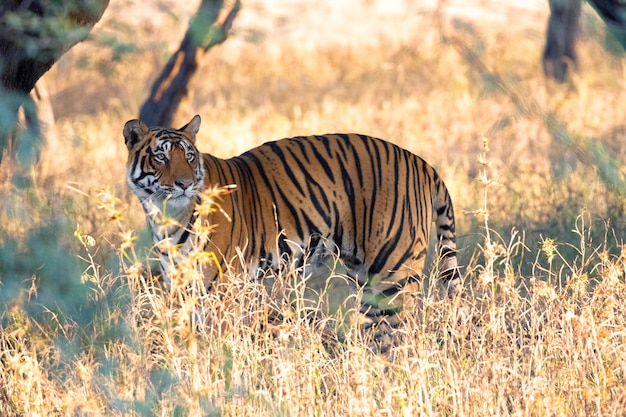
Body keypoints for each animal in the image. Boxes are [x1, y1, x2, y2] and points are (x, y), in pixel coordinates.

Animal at [124, 114, 460, 328]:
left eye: (189, 156)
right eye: (161, 157)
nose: (185, 184)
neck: (166, 216)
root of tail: (420, 161)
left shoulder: (222, 289)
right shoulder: (181, 288)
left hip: (393, 274)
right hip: (365, 276)